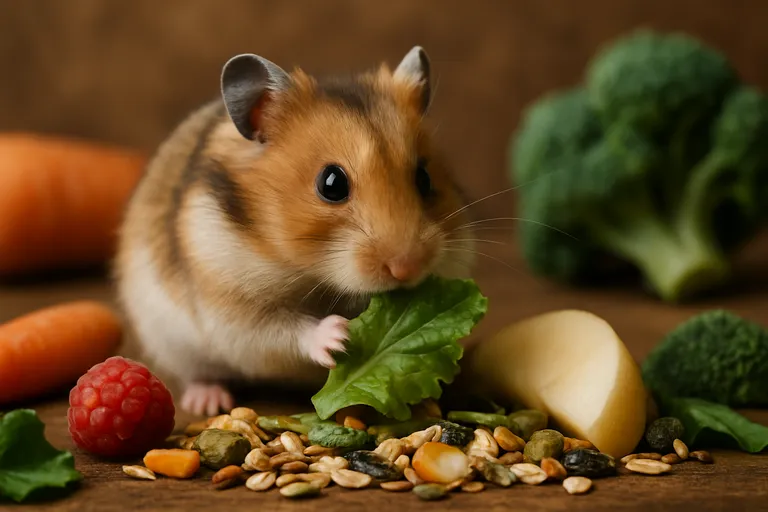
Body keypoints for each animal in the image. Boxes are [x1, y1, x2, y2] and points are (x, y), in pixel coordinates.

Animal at [114, 46, 476, 417]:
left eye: (424, 178)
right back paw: (208, 403)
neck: (313, 273)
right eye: (331, 184)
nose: (407, 269)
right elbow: (283, 331)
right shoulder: (231, 304)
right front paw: (340, 336)